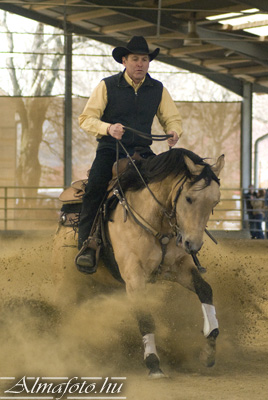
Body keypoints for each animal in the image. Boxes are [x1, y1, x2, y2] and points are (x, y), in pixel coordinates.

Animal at [56, 146, 224, 378]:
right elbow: (145, 318)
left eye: (214, 202)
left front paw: (209, 348)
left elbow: (205, 289)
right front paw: (153, 363)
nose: (193, 244)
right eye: (189, 198)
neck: (155, 220)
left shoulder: (178, 268)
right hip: (67, 281)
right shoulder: (134, 275)